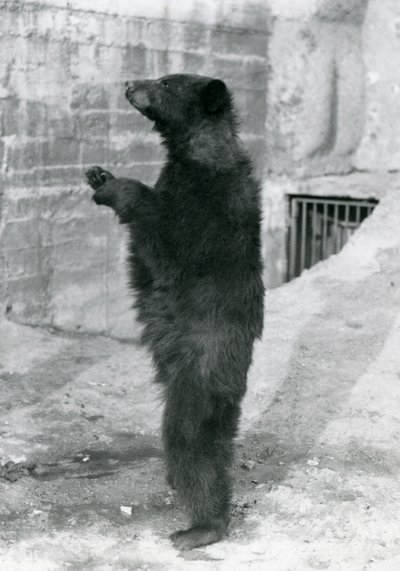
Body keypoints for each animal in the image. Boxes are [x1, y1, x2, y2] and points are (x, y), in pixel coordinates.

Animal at [86, 73, 264, 552]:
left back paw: (198, 528)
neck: (198, 152)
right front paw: (97, 173)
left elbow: (167, 244)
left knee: (192, 444)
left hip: (197, 380)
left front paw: (113, 186)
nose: (129, 82)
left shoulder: (208, 209)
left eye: (166, 82)